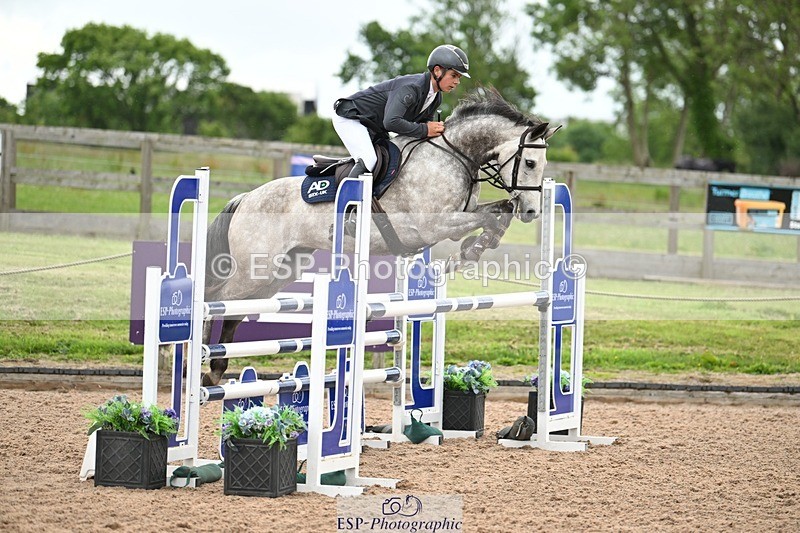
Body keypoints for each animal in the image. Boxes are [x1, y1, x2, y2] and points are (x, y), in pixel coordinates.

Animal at [201, 88, 561, 386]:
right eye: (530, 162)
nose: (533, 211)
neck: (453, 158)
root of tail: (246, 198)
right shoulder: (434, 225)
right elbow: (490, 213)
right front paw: (470, 249)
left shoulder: (457, 216)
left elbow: (500, 210)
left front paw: (476, 247)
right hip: (253, 269)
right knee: (217, 299)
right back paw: (203, 357)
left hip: (279, 270)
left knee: (235, 309)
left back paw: (216, 370)